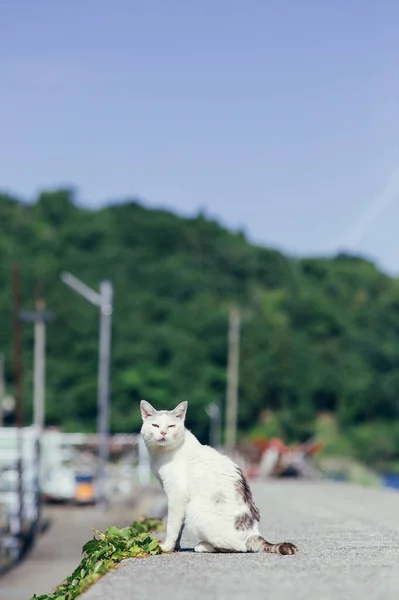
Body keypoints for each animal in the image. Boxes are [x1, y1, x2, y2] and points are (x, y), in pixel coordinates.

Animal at [141, 400, 296, 556]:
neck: (161, 453)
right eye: (155, 425)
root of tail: (253, 533)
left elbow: (173, 525)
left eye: (171, 426)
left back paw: (203, 546)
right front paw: (176, 547)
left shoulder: (178, 495)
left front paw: (166, 547)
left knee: (238, 547)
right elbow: (180, 527)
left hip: (196, 510)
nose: (163, 432)